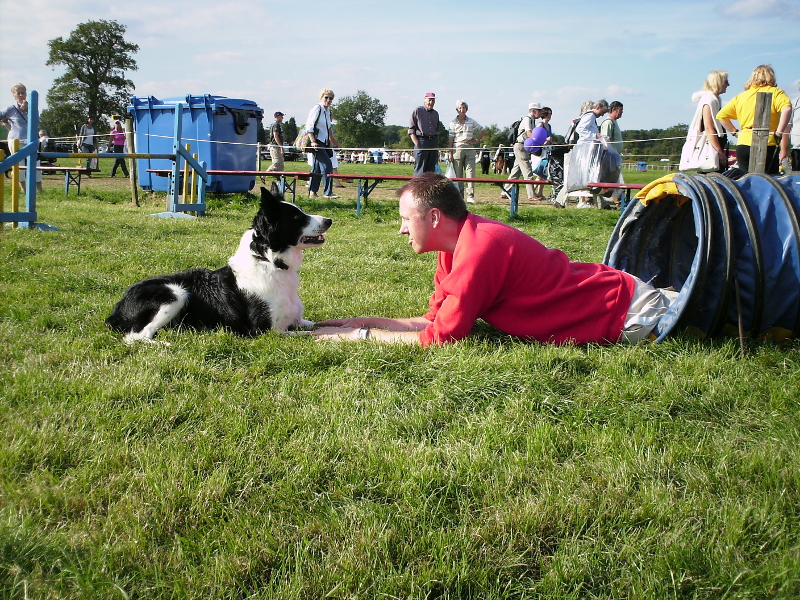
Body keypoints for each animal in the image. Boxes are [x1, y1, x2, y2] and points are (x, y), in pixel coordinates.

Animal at [106, 188, 332, 346]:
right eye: (296, 217)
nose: (329, 220)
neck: (269, 262)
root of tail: (119, 306)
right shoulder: (266, 331)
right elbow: (311, 333)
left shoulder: (299, 320)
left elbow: (321, 324)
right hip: (174, 293)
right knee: (134, 337)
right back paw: (167, 344)